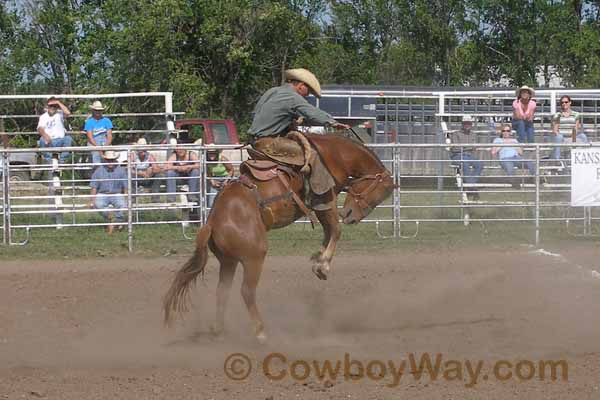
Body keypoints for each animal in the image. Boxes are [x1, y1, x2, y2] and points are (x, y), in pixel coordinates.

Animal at [164, 134, 396, 340]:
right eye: (378, 193)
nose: (350, 216)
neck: (334, 154)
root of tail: (211, 222)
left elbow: (328, 231)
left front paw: (318, 259)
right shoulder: (325, 197)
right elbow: (335, 230)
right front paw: (322, 266)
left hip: (228, 261)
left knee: (223, 292)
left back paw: (218, 330)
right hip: (254, 258)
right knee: (246, 291)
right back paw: (260, 332)